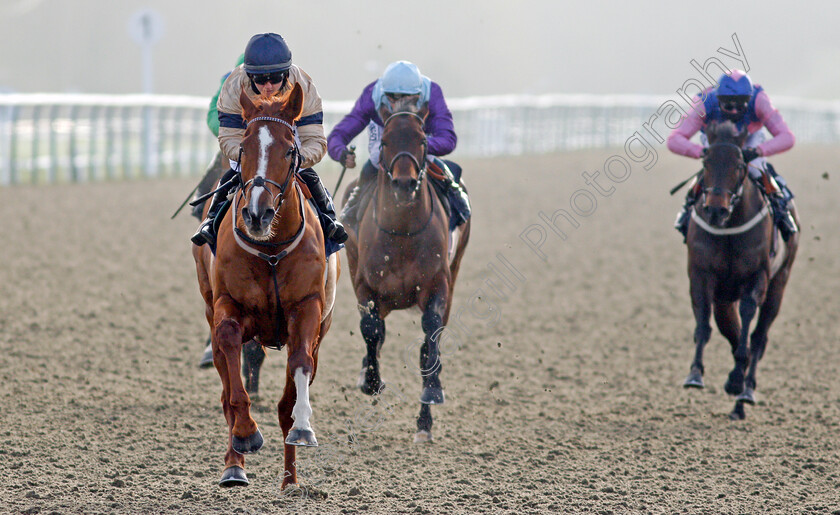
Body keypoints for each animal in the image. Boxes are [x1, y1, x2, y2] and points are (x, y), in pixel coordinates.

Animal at [192, 84, 340, 488]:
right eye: (243, 148)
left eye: (290, 149)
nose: (257, 214)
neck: (271, 248)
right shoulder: (229, 308)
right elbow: (230, 357)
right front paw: (245, 434)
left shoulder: (307, 310)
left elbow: (300, 366)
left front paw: (304, 429)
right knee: (227, 390)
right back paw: (234, 466)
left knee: (288, 396)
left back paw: (290, 481)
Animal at [342, 100, 472, 444]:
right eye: (385, 142)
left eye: (423, 140)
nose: (404, 184)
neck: (401, 233)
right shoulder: (365, 285)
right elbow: (371, 329)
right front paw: (370, 380)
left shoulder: (438, 284)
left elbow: (430, 334)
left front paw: (431, 397)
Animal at [680, 123, 796, 422]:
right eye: (706, 162)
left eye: (740, 165)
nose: (715, 210)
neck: (729, 227)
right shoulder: (701, 275)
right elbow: (704, 324)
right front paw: (695, 374)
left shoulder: (757, 278)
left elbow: (747, 320)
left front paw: (736, 381)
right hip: (724, 297)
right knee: (730, 329)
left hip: (779, 284)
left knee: (758, 336)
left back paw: (745, 392)